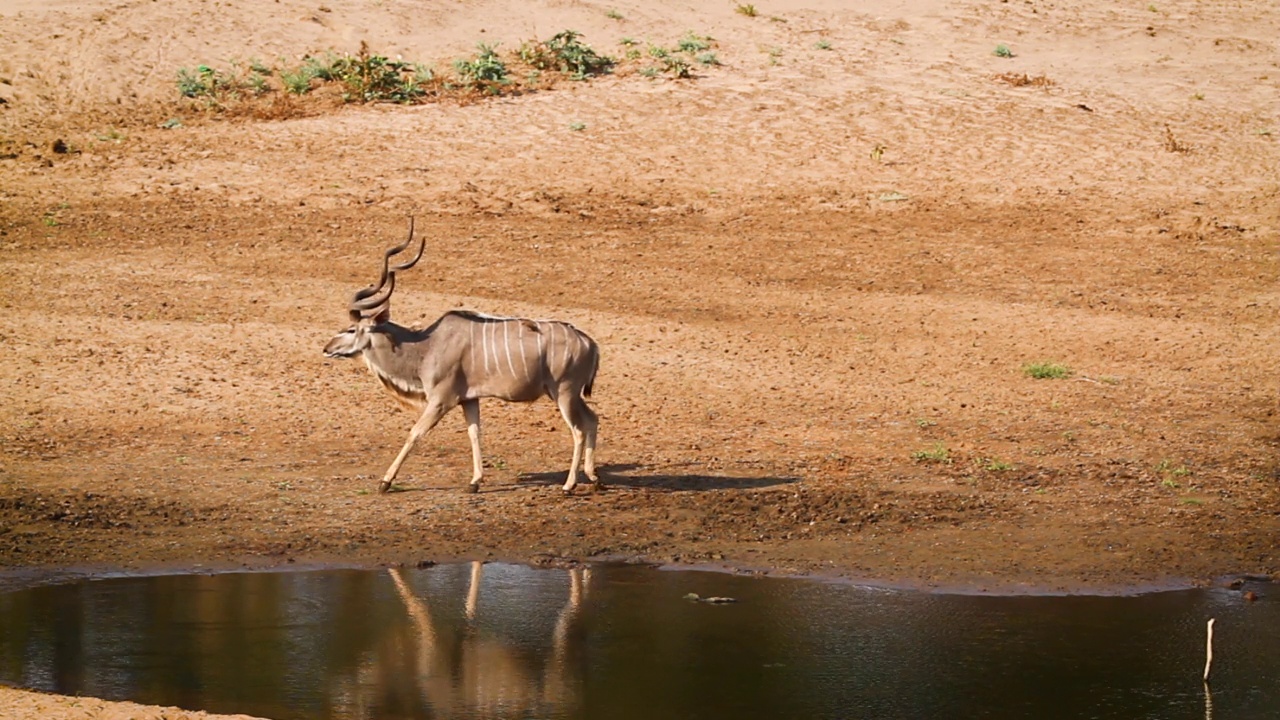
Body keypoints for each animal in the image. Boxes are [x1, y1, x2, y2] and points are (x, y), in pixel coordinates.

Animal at [320, 219, 599, 491]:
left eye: (351, 329)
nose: (327, 348)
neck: (426, 346)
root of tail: (590, 343)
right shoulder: (469, 399)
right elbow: (474, 432)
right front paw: (475, 481)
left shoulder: (441, 400)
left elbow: (415, 432)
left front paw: (385, 481)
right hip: (567, 394)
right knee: (592, 419)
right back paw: (593, 478)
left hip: (564, 392)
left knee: (578, 430)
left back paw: (569, 485)